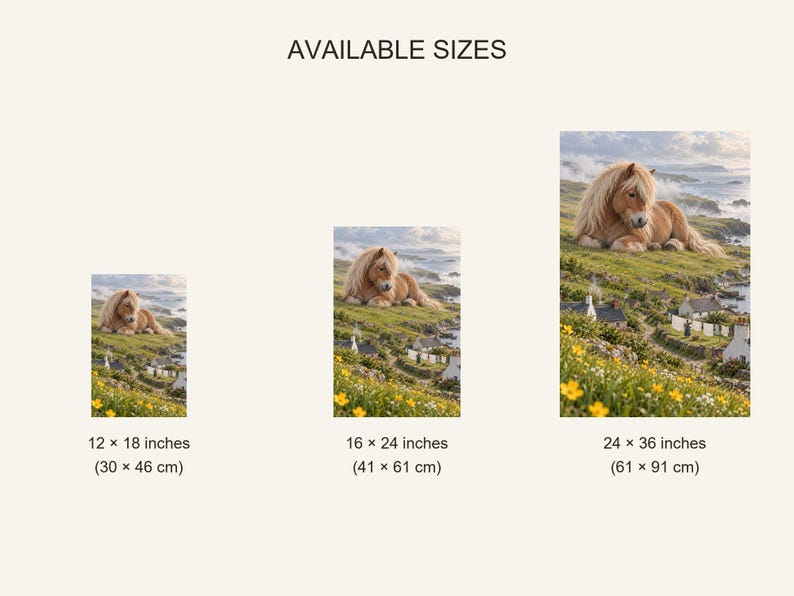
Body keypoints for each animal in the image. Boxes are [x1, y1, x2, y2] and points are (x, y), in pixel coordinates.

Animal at [574, 162, 725, 257]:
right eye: (631, 194)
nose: (643, 221)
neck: (609, 223)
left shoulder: (639, 237)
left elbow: (618, 243)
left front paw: (640, 248)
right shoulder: (585, 234)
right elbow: (585, 241)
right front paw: (598, 242)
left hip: (680, 231)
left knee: (684, 243)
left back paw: (670, 245)